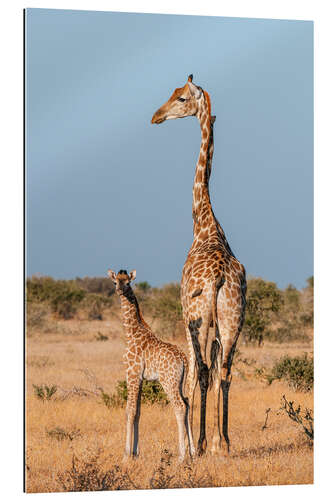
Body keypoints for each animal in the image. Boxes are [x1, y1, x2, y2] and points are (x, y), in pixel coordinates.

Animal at [107, 270, 195, 460]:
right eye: (115, 281)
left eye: (128, 282)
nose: (119, 290)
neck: (131, 333)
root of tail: (184, 359)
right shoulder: (140, 379)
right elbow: (138, 412)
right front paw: (135, 452)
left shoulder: (131, 374)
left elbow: (130, 410)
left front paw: (126, 455)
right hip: (180, 382)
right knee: (188, 403)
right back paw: (193, 452)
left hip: (168, 381)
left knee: (180, 406)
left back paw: (182, 456)